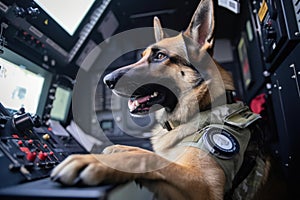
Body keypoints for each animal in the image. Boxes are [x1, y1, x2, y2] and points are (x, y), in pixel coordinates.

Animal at [51, 0, 270, 199]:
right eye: (142, 56)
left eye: (160, 56)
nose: (107, 81)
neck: (203, 107)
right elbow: (144, 152)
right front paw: (118, 148)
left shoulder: (204, 186)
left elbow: (148, 158)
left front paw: (93, 161)